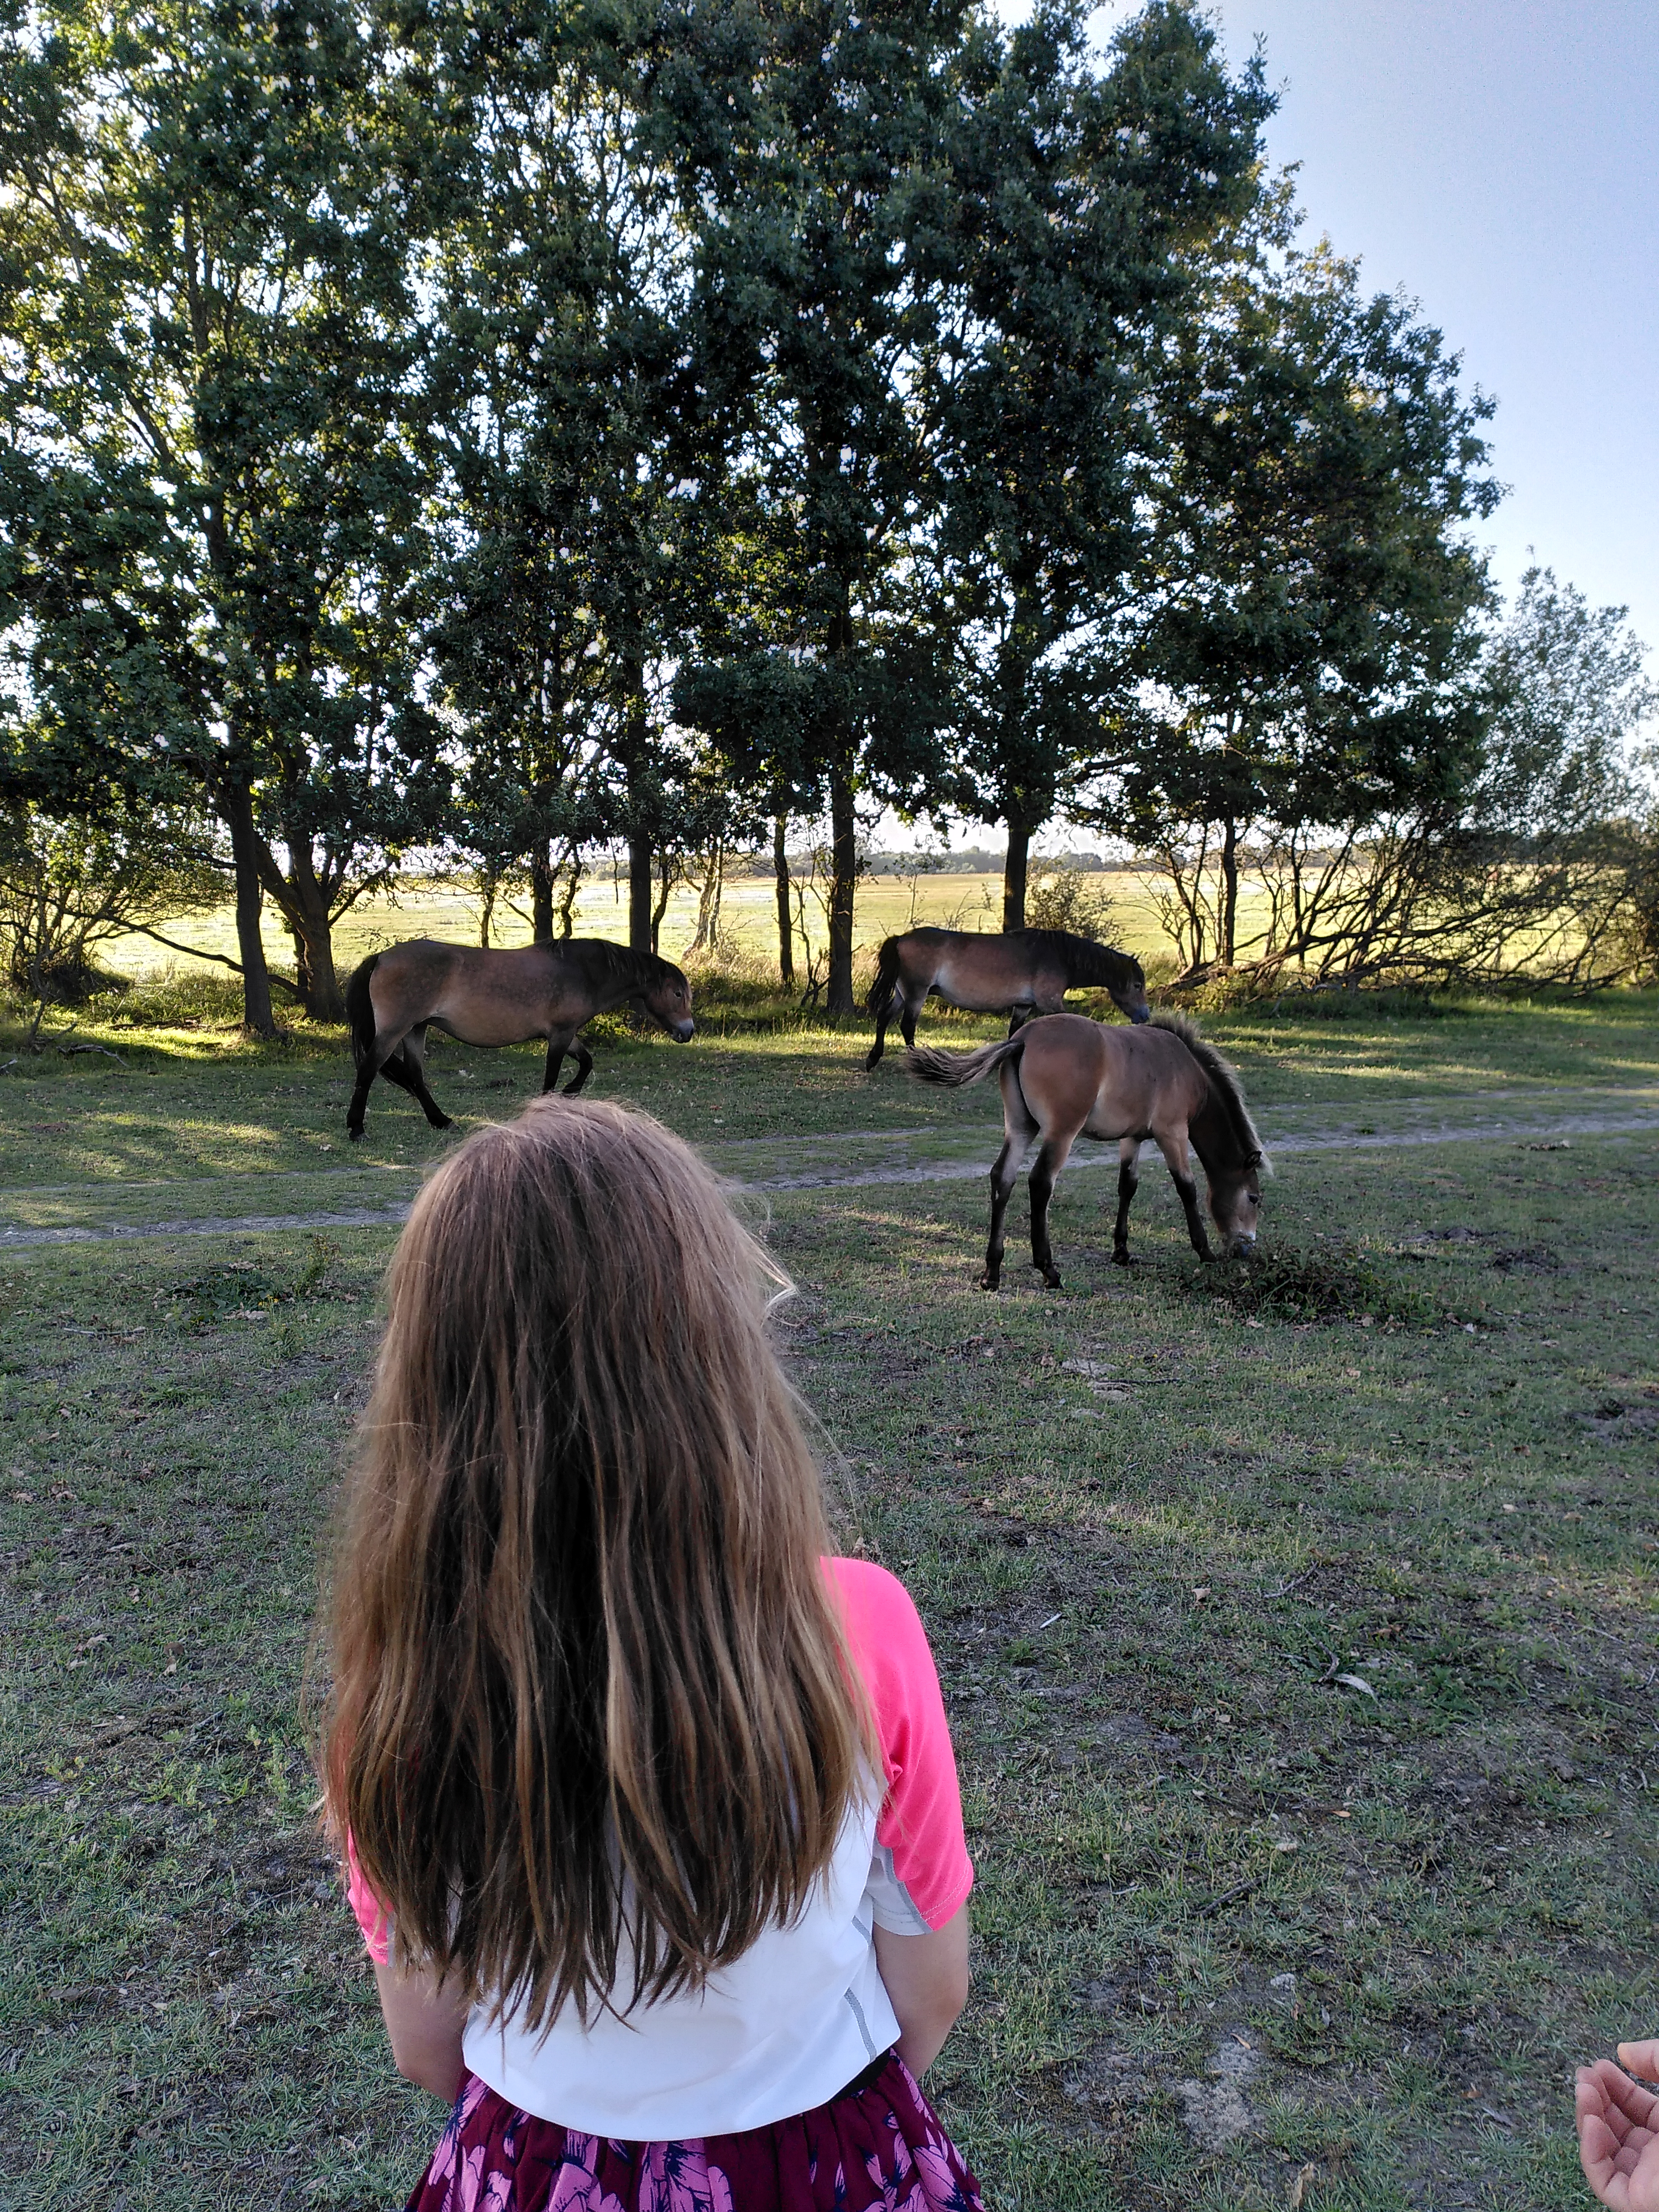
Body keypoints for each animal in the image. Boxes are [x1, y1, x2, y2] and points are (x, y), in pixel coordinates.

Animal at [345, 933, 695, 1141]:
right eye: (678, 993)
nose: (688, 1031)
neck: (582, 970)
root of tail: (381, 957)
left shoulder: (566, 1034)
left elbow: (586, 1062)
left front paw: (569, 1094)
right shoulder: (560, 1035)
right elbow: (552, 1078)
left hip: (416, 1030)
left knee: (416, 1076)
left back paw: (441, 1121)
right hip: (393, 1031)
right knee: (368, 1071)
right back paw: (356, 1128)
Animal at [872, 925, 1159, 1071]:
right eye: (1137, 985)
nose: (1145, 1015)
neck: (1060, 956)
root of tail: (901, 938)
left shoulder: (1023, 1006)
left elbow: (1014, 1033)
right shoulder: (1049, 1003)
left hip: (903, 994)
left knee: (884, 1017)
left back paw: (872, 1059)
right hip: (916, 994)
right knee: (907, 1026)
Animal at [916, 1013, 1265, 1292]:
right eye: (1254, 1199)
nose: (1245, 1250)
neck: (1187, 1069)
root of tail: (1022, 1039)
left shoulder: (1133, 1137)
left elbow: (1127, 1186)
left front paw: (1121, 1252)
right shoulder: (1173, 1132)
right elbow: (1187, 1188)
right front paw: (1205, 1252)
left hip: (1020, 1127)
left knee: (1002, 1179)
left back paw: (992, 1273)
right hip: (1062, 1131)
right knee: (1040, 1182)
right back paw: (1049, 1271)